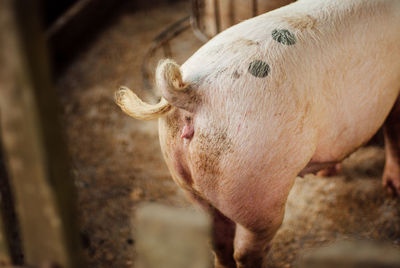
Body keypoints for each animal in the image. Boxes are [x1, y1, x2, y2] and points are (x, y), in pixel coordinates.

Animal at [114, 0, 400, 266]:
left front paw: (327, 172)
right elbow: (394, 131)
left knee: (218, 240)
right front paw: (393, 191)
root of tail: (192, 93)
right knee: (246, 251)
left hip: (188, 182)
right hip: (257, 190)